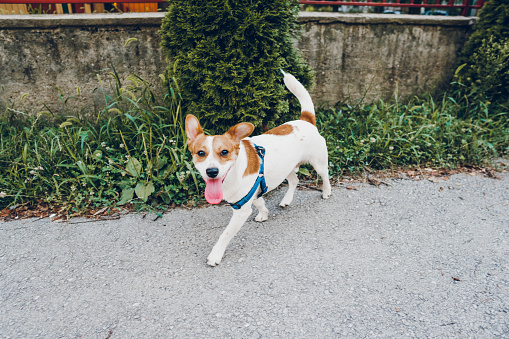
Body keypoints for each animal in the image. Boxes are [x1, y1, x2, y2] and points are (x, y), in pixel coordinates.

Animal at [185, 71, 332, 266]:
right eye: (201, 153)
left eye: (224, 152)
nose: (212, 172)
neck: (233, 174)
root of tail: (305, 120)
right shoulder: (251, 193)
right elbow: (259, 202)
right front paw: (264, 213)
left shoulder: (240, 211)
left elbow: (225, 234)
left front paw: (216, 254)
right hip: (286, 169)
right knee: (294, 180)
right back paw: (287, 200)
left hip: (318, 163)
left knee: (325, 176)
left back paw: (326, 191)